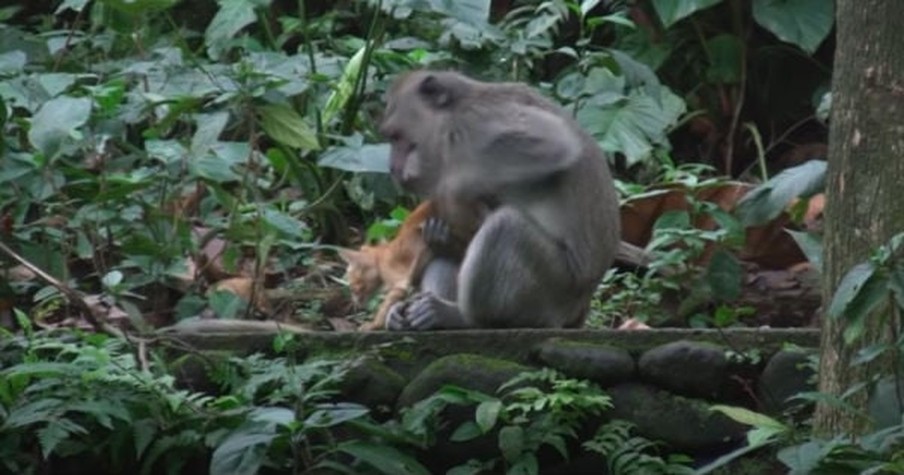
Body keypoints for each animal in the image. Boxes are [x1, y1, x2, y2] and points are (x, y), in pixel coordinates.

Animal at [376, 70, 620, 330]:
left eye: (397, 137)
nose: (391, 168)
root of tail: (580, 309)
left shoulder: (479, 123)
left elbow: (556, 143)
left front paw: (448, 190)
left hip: (553, 293)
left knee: (506, 226)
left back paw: (462, 318)